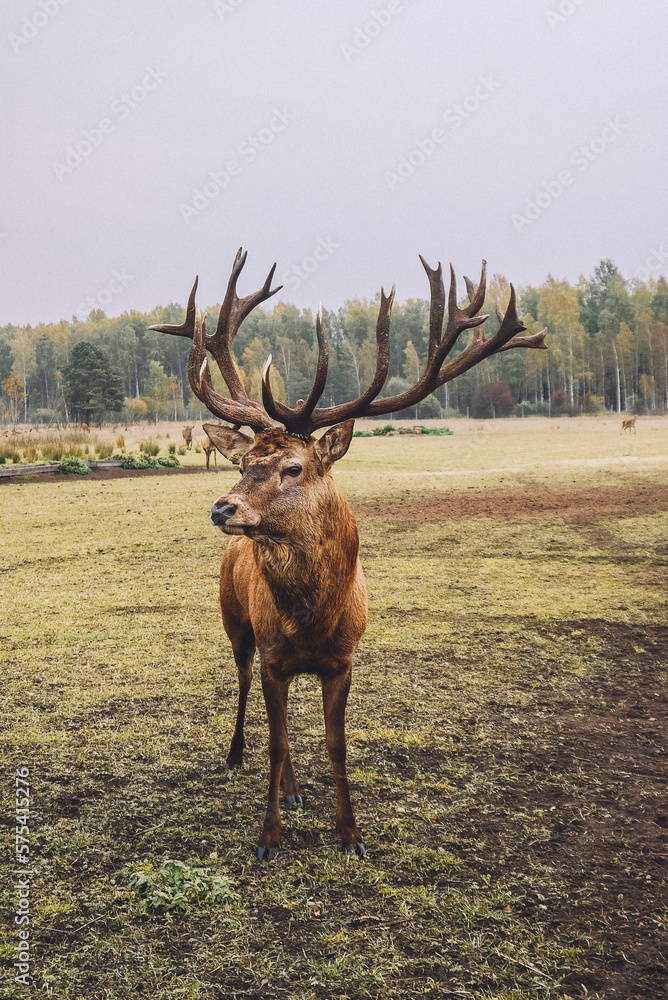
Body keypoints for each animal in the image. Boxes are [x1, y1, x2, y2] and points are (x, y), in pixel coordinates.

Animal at [149, 248, 547, 860]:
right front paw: (268, 838)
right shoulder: (274, 657)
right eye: (246, 463)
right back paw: (239, 757)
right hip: (234, 623)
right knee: (244, 688)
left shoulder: (343, 660)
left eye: (294, 467)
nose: (222, 508)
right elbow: (276, 741)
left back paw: (295, 790)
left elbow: (336, 746)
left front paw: (350, 834)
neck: (313, 620)